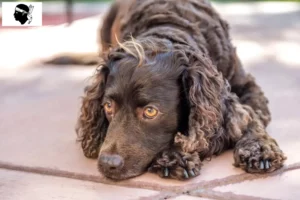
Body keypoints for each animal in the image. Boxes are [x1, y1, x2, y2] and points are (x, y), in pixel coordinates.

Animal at [74, 0, 284, 180]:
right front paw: (175, 155)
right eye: (108, 106)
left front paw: (259, 148)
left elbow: (252, 116)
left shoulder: (247, 87)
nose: (107, 163)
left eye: (150, 111)